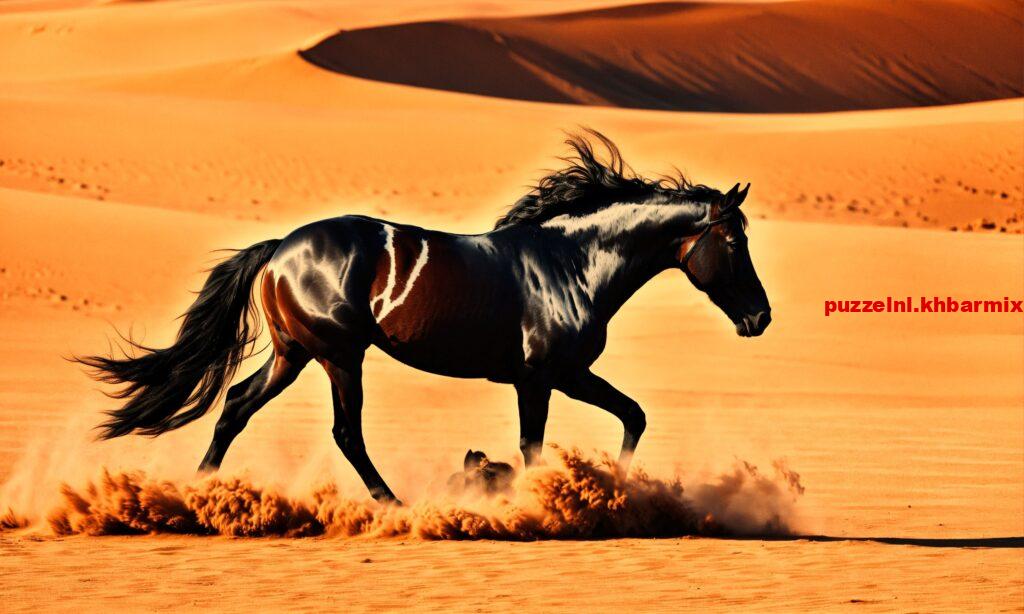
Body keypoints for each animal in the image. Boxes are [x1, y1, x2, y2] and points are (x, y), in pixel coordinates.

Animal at [78, 130, 771, 503]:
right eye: (733, 241)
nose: (760, 318)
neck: (572, 264)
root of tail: (278, 251)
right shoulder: (546, 378)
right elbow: (546, 444)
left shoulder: (558, 377)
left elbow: (629, 416)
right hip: (339, 356)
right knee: (345, 432)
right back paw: (392, 503)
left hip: (292, 354)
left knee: (236, 407)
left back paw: (198, 489)